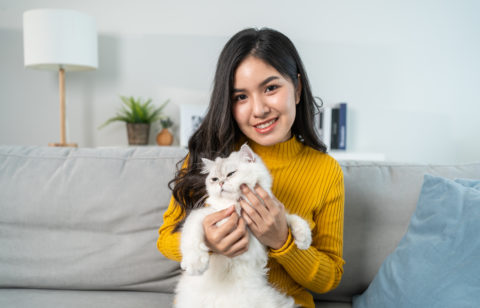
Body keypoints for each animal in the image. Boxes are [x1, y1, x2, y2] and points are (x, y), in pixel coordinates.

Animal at [174, 144, 314, 308]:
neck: (239, 206)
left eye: (230, 174)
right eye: (214, 179)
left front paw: (304, 240)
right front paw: (195, 264)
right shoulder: (204, 215)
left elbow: (292, 219)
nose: (221, 182)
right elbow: (191, 235)